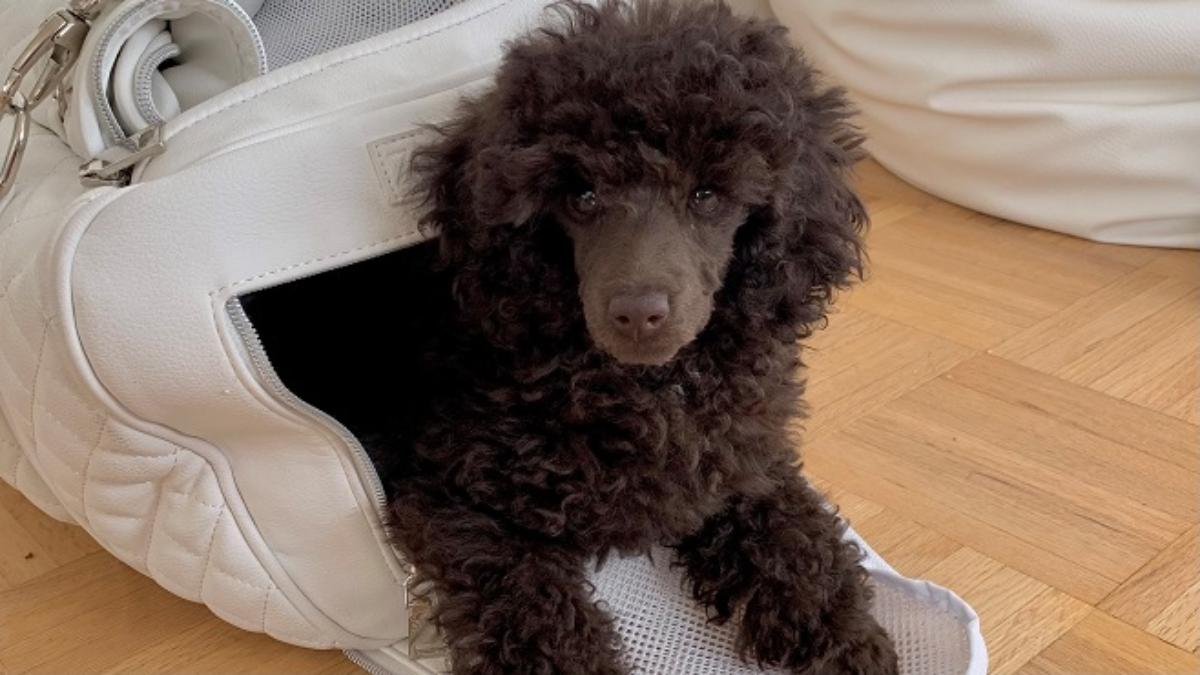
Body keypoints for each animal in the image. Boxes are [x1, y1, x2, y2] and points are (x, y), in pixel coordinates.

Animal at [372, 1, 898, 673]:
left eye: (707, 194)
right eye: (582, 195)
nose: (638, 313)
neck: (648, 389)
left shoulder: (739, 459)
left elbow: (796, 535)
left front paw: (844, 636)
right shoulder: (454, 497)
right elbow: (530, 606)